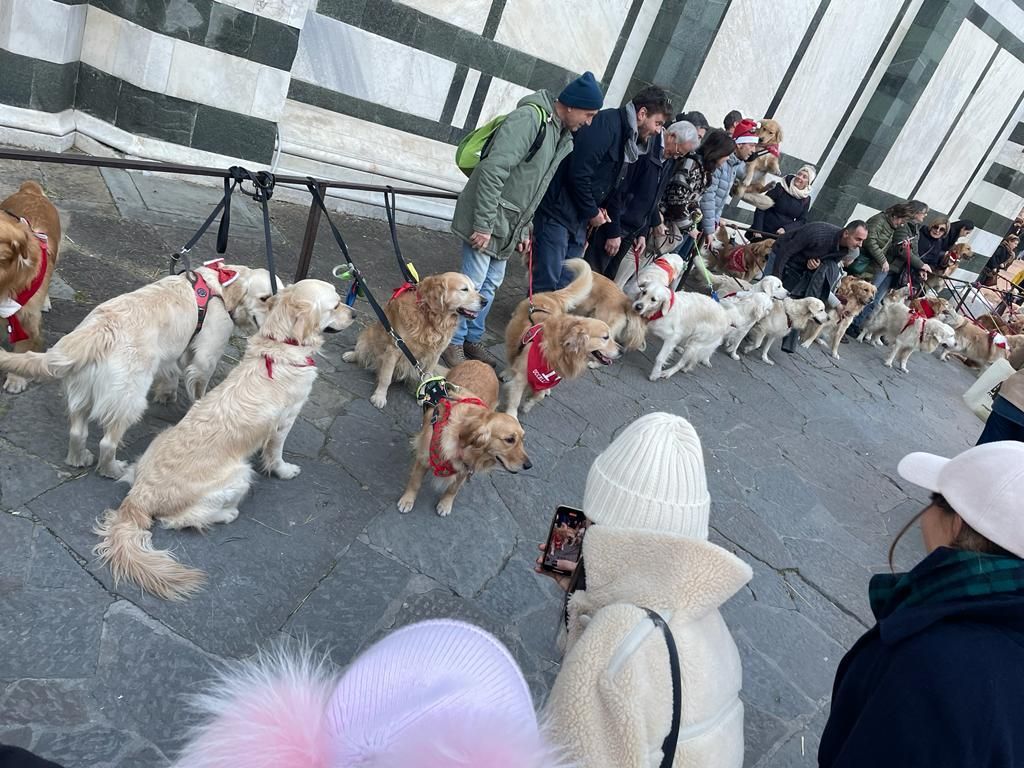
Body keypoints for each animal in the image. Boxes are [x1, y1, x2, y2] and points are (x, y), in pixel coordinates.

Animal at [93, 280, 356, 606]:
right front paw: (284, 470)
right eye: (335, 304)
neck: (281, 346)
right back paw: (228, 513)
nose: (356, 314)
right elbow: (276, 452)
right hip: (240, 475)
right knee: (179, 520)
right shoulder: (286, 419)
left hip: (159, 439)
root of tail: (139, 497)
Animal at [344, 274, 483, 411]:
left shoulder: (435, 355)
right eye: (464, 289)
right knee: (362, 351)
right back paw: (351, 355)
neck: (431, 319)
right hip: (368, 335)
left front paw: (423, 397)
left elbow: (426, 378)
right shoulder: (395, 348)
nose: (485, 301)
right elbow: (386, 377)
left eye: (476, 289)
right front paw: (379, 397)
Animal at [397, 360, 532, 518]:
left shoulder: (465, 468)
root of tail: (483, 363)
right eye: (509, 439)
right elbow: (415, 482)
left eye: (522, 439)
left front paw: (445, 504)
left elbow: (453, 488)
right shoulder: (424, 459)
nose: (529, 465)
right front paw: (407, 500)